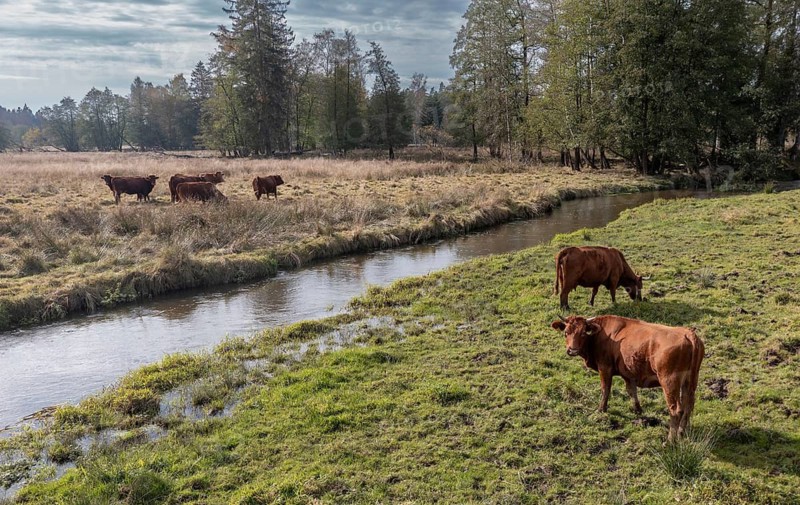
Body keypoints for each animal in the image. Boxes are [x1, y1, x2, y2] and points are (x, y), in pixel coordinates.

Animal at [551, 315, 704, 442]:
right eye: (566, 332)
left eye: (583, 333)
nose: (572, 350)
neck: (602, 334)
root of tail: (688, 333)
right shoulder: (628, 373)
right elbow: (631, 391)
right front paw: (638, 411)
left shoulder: (605, 368)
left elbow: (605, 389)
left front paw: (601, 409)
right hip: (690, 381)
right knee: (688, 405)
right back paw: (681, 433)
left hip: (669, 382)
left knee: (676, 410)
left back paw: (670, 441)